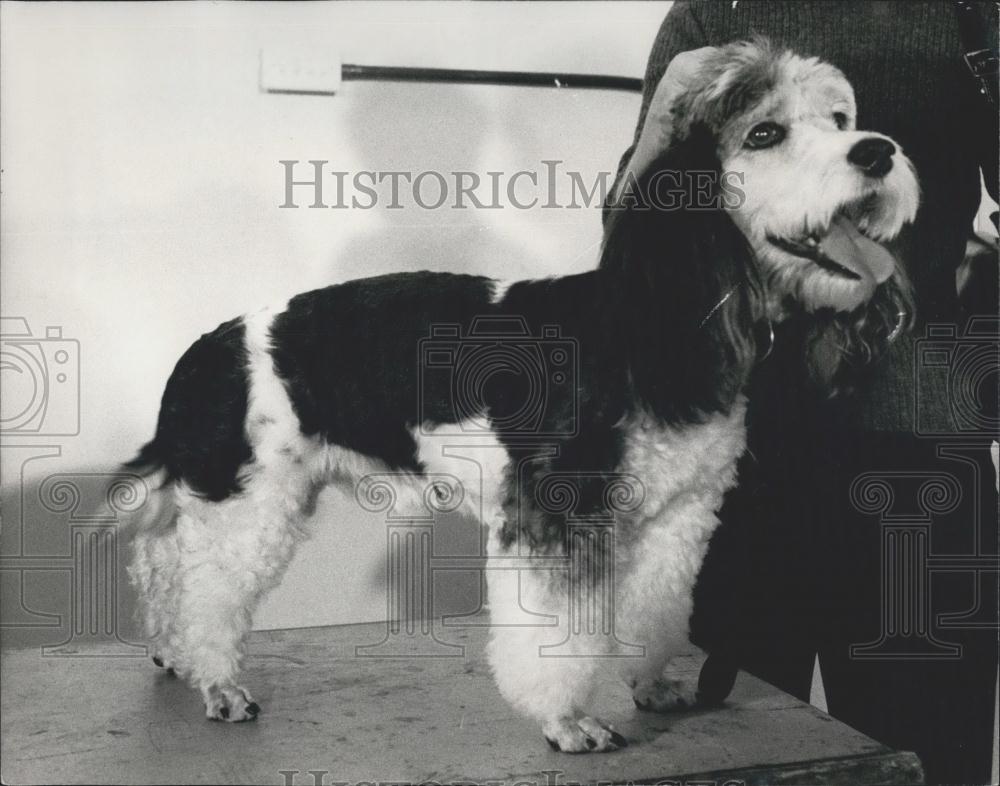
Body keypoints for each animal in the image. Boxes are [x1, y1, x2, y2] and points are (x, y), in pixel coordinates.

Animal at [123, 39, 916, 752]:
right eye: (765, 133)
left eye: (839, 118)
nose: (878, 151)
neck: (652, 327)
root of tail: (208, 348)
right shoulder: (558, 514)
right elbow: (556, 637)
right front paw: (568, 720)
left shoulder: (676, 518)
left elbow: (654, 611)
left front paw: (650, 682)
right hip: (249, 501)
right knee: (203, 592)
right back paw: (217, 681)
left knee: (164, 564)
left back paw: (173, 653)